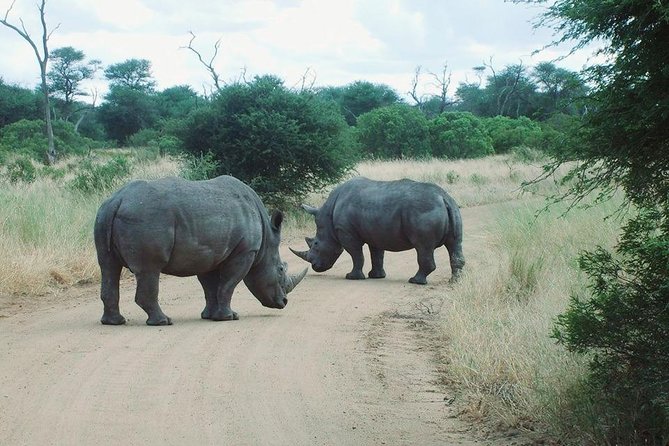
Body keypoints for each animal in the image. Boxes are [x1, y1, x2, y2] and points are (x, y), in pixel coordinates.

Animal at [94, 176, 308, 326]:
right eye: (281, 269)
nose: (284, 302)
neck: (265, 242)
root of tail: (118, 200)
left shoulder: (208, 254)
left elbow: (210, 287)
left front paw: (209, 316)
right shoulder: (245, 252)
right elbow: (228, 284)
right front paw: (229, 317)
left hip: (103, 215)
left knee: (108, 267)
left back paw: (114, 322)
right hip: (147, 218)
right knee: (149, 269)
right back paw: (163, 321)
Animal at [290, 176, 462, 284]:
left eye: (316, 244)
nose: (315, 267)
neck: (328, 217)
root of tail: (443, 198)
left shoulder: (346, 232)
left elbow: (356, 254)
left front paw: (352, 277)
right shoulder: (376, 232)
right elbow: (377, 255)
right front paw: (376, 276)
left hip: (423, 211)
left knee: (423, 247)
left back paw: (415, 281)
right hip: (454, 209)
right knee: (454, 244)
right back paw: (455, 282)